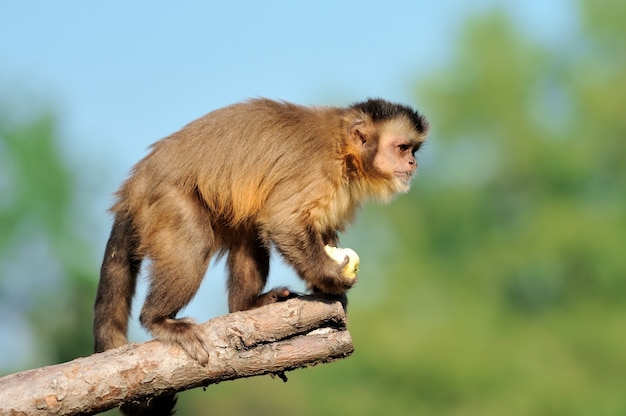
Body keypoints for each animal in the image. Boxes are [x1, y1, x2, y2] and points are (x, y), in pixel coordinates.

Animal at [92, 97, 426, 412]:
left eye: (413, 150)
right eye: (402, 148)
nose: (412, 163)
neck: (344, 151)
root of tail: (136, 183)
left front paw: (326, 288)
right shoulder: (319, 170)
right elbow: (284, 222)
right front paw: (330, 277)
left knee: (249, 228)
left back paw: (245, 306)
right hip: (166, 198)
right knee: (195, 239)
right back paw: (159, 319)